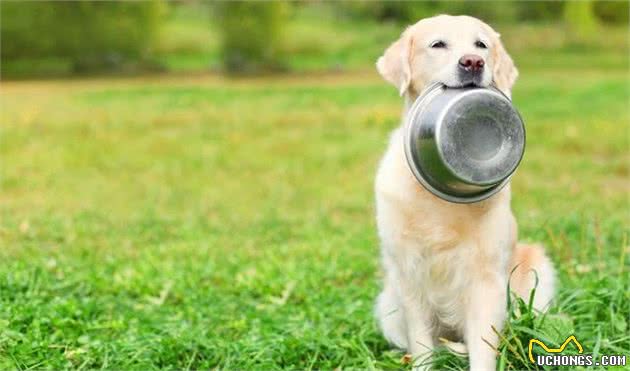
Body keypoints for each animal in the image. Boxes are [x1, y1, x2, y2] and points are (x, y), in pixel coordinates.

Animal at [376, 15, 556, 371]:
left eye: (481, 45)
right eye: (438, 44)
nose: (473, 62)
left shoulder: (486, 279)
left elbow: (483, 348)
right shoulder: (409, 274)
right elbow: (422, 345)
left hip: (537, 268)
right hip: (388, 303)